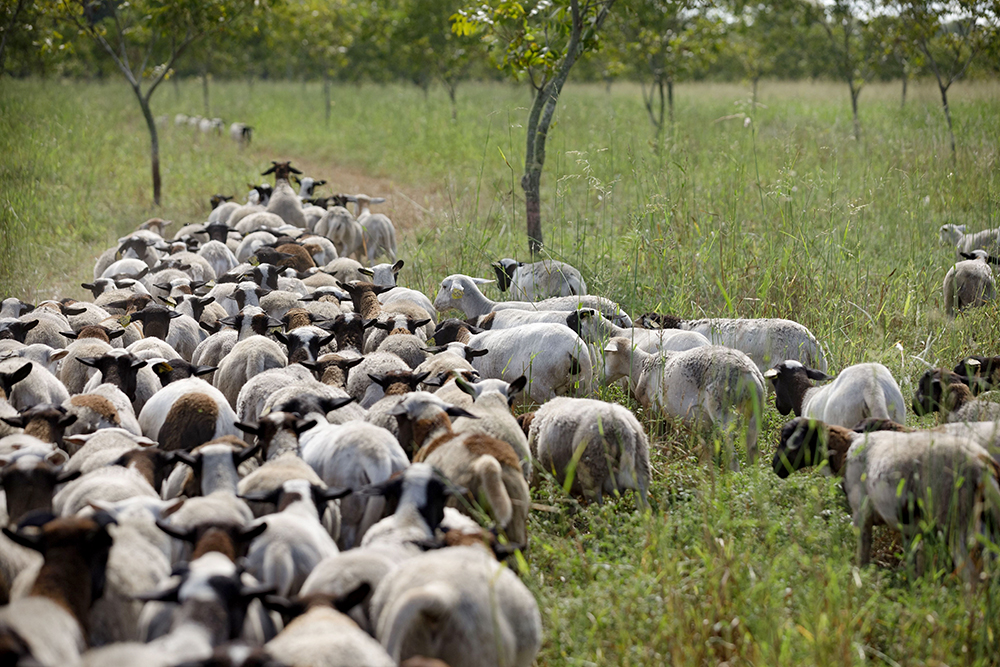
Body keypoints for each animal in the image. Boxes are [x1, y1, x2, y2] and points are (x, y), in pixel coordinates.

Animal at [395, 392, 530, 546]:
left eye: (399, 419)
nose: (399, 440)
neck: (436, 435)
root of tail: (488, 466)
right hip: (515, 522)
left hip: (461, 507)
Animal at [604, 338, 765, 471]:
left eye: (605, 354)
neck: (641, 365)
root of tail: (750, 372)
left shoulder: (651, 408)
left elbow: (654, 435)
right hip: (753, 414)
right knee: (752, 450)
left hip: (722, 410)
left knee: (733, 453)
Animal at [772, 417, 1000, 578]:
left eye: (786, 439)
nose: (775, 467)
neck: (846, 450)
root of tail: (980, 464)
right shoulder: (908, 526)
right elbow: (913, 562)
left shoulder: (862, 514)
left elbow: (863, 556)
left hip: (957, 523)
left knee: (972, 575)